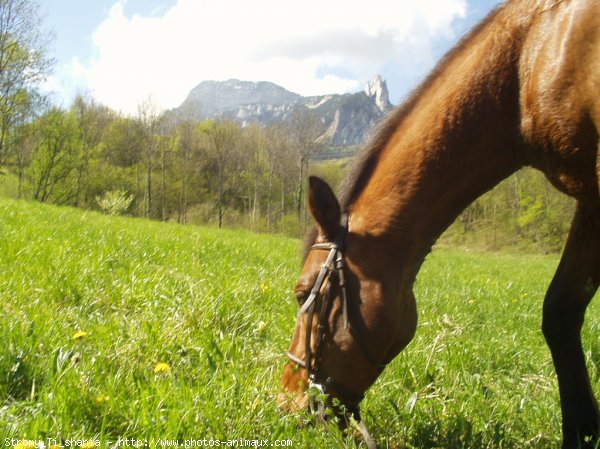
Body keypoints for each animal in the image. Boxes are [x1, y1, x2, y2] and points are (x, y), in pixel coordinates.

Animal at [278, 0, 600, 446]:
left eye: (302, 293)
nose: (286, 404)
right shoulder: (590, 198)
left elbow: (560, 312)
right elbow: (562, 311)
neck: (529, 57)